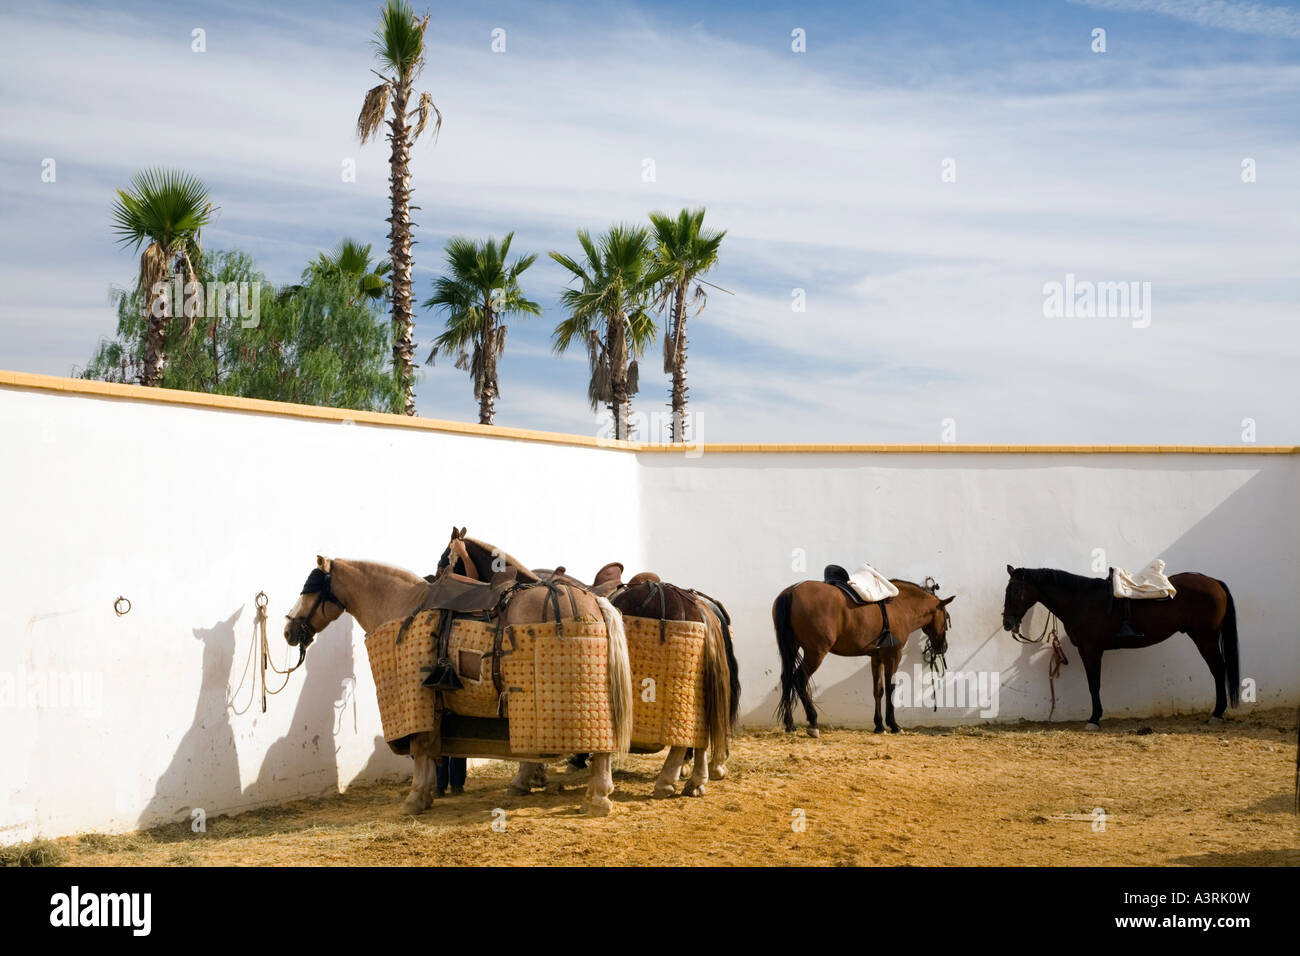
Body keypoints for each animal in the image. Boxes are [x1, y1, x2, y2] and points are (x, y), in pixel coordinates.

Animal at [284, 554, 634, 816]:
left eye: (310, 587)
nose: (289, 630)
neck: (401, 606)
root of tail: (594, 600)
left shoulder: (418, 699)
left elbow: (419, 747)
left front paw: (415, 799)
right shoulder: (435, 704)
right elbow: (428, 747)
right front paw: (425, 794)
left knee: (602, 745)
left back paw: (598, 798)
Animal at [769, 580, 956, 738]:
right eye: (947, 617)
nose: (943, 647)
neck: (900, 606)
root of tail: (792, 590)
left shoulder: (877, 658)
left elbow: (878, 690)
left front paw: (879, 726)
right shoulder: (893, 656)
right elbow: (890, 687)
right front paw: (893, 725)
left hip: (791, 648)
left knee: (787, 679)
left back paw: (790, 725)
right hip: (815, 653)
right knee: (799, 679)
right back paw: (813, 723)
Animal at [1003, 564, 1237, 728]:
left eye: (1014, 590)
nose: (1007, 623)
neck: (1080, 599)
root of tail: (1214, 582)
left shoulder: (1092, 650)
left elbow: (1094, 684)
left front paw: (1094, 719)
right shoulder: (1085, 650)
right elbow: (1093, 683)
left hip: (1206, 638)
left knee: (1218, 669)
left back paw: (1217, 714)